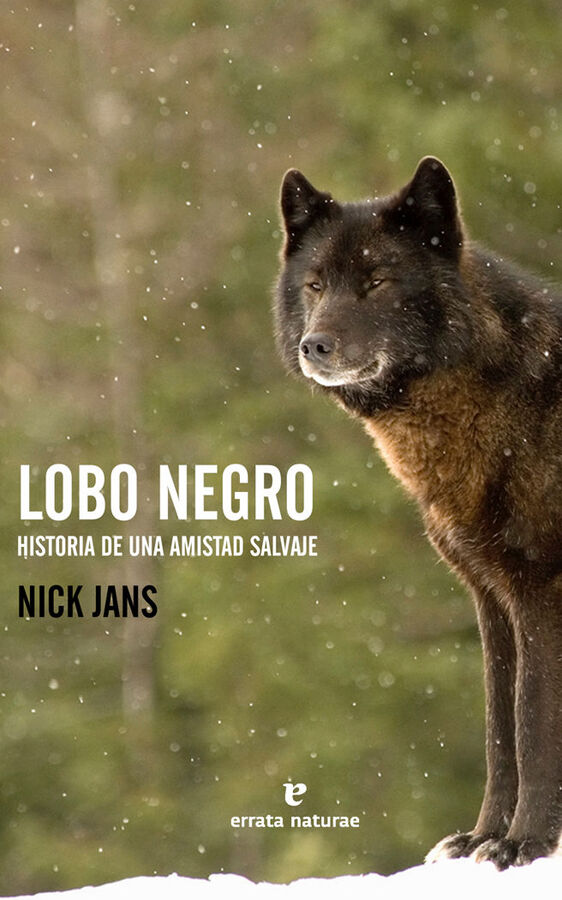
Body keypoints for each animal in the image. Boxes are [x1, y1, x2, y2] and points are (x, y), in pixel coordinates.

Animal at [274, 156, 562, 869]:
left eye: (377, 281)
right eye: (316, 285)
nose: (314, 346)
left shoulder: (539, 590)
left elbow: (531, 721)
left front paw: (527, 844)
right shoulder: (491, 598)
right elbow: (499, 729)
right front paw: (484, 838)